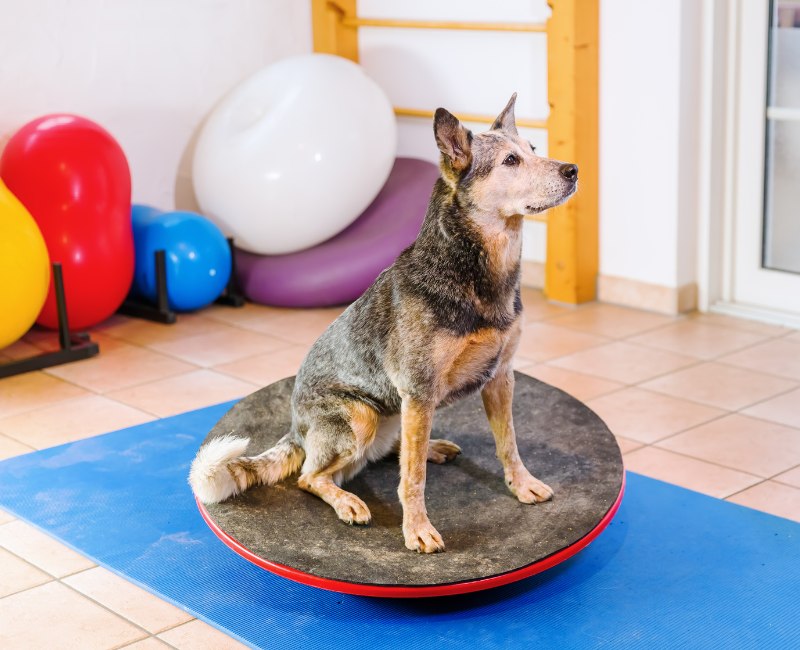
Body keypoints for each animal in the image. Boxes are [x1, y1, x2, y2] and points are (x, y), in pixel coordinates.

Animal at [191, 93, 580, 552]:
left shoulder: (501, 377)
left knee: (393, 451)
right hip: (362, 416)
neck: (478, 272)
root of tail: (295, 431)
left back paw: (430, 447)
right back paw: (347, 500)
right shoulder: (419, 389)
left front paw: (521, 484)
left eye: (534, 150)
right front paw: (417, 529)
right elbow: (413, 479)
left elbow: (509, 443)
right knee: (311, 476)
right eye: (511, 161)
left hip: (396, 415)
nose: (574, 170)